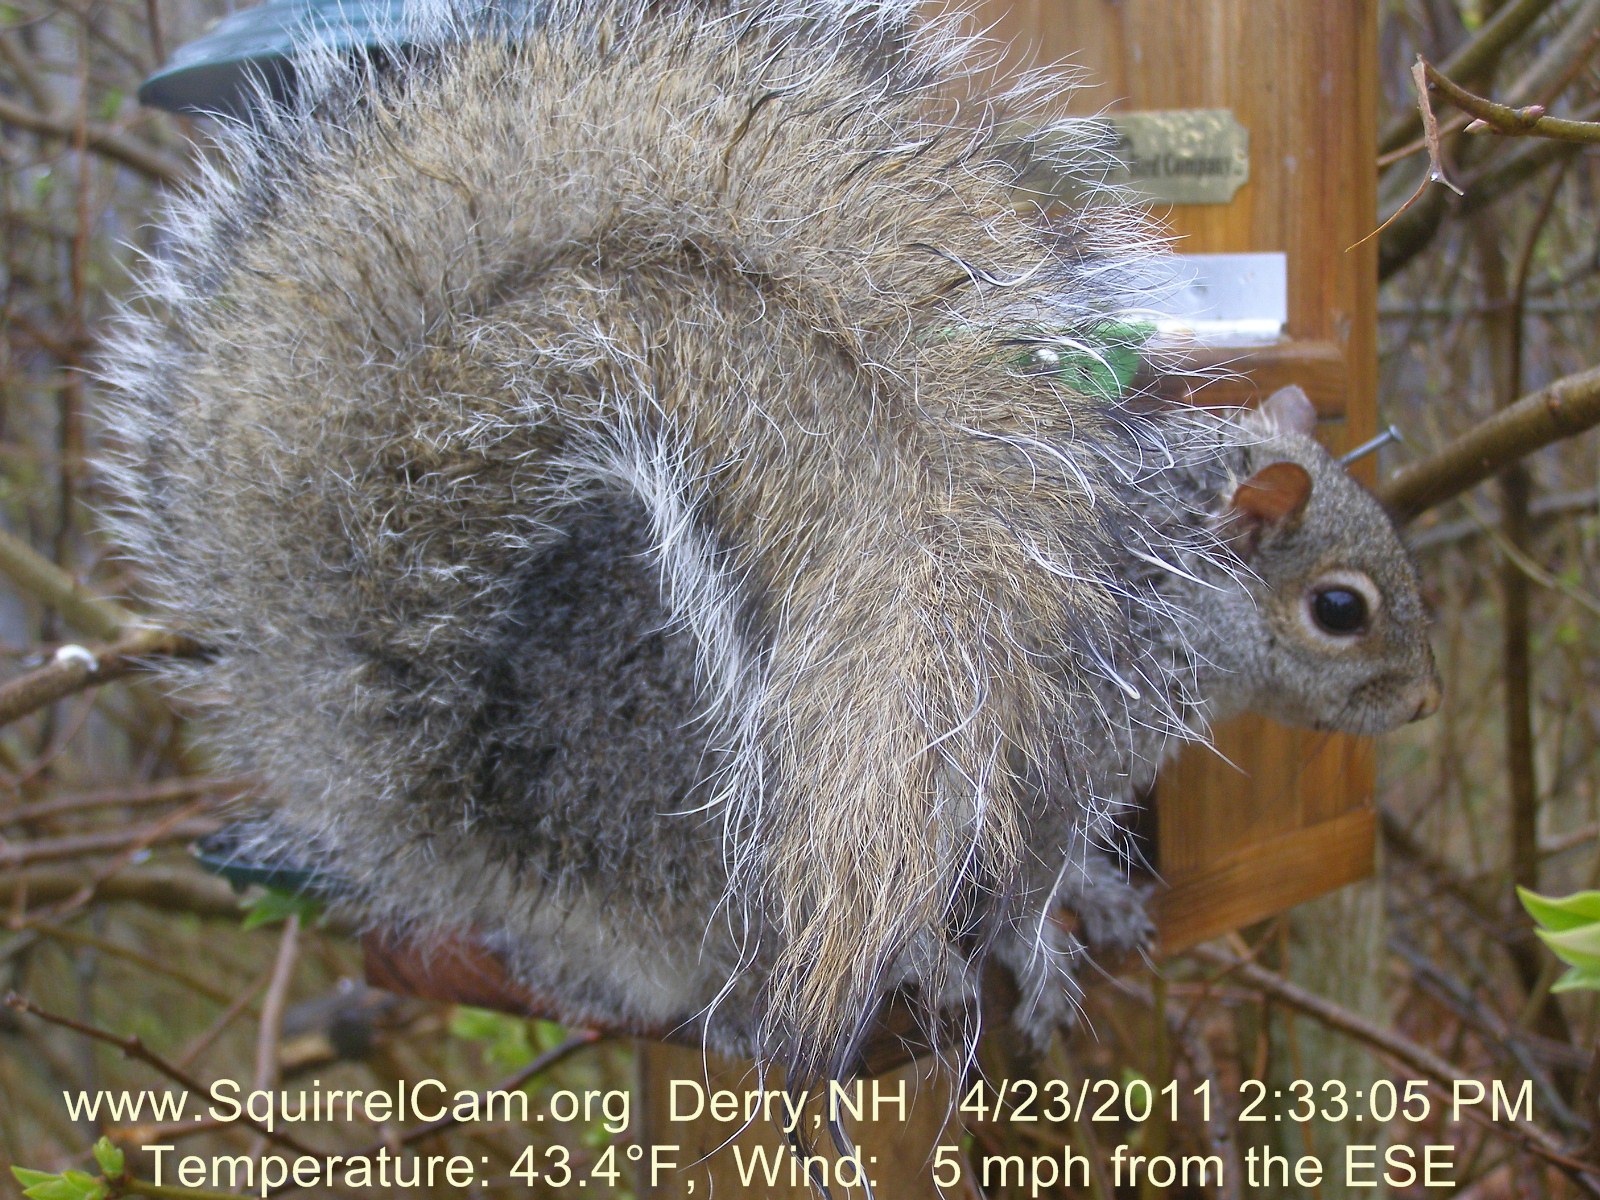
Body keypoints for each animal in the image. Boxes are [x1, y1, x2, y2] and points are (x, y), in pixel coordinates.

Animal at [100, 0, 1437, 1079]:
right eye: (1339, 609)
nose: (1420, 704)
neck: (1157, 589)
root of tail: (496, 860)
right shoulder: (1039, 759)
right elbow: (1018, 892)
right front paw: (1038, 958)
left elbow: (1070, 871)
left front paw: (1105, 905)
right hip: (793, 814)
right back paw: (909, 972)